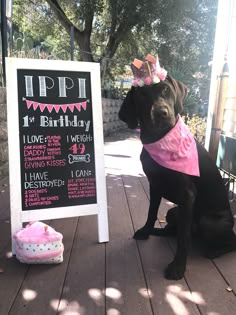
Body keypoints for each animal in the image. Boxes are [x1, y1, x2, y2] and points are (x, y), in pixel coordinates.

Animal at [120, 76, 236, 282]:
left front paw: (177, 268)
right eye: (142, 95)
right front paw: (146, 230)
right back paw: (158, 231)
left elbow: (183, 238)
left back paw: (215, 250)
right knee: (174, 228)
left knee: (231, 241)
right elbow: (151, 213)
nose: (161, 113)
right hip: (173, 212)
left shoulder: (187, 195)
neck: (160, 140)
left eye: (166, 89)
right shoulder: (154, 186)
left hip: (207, 220)